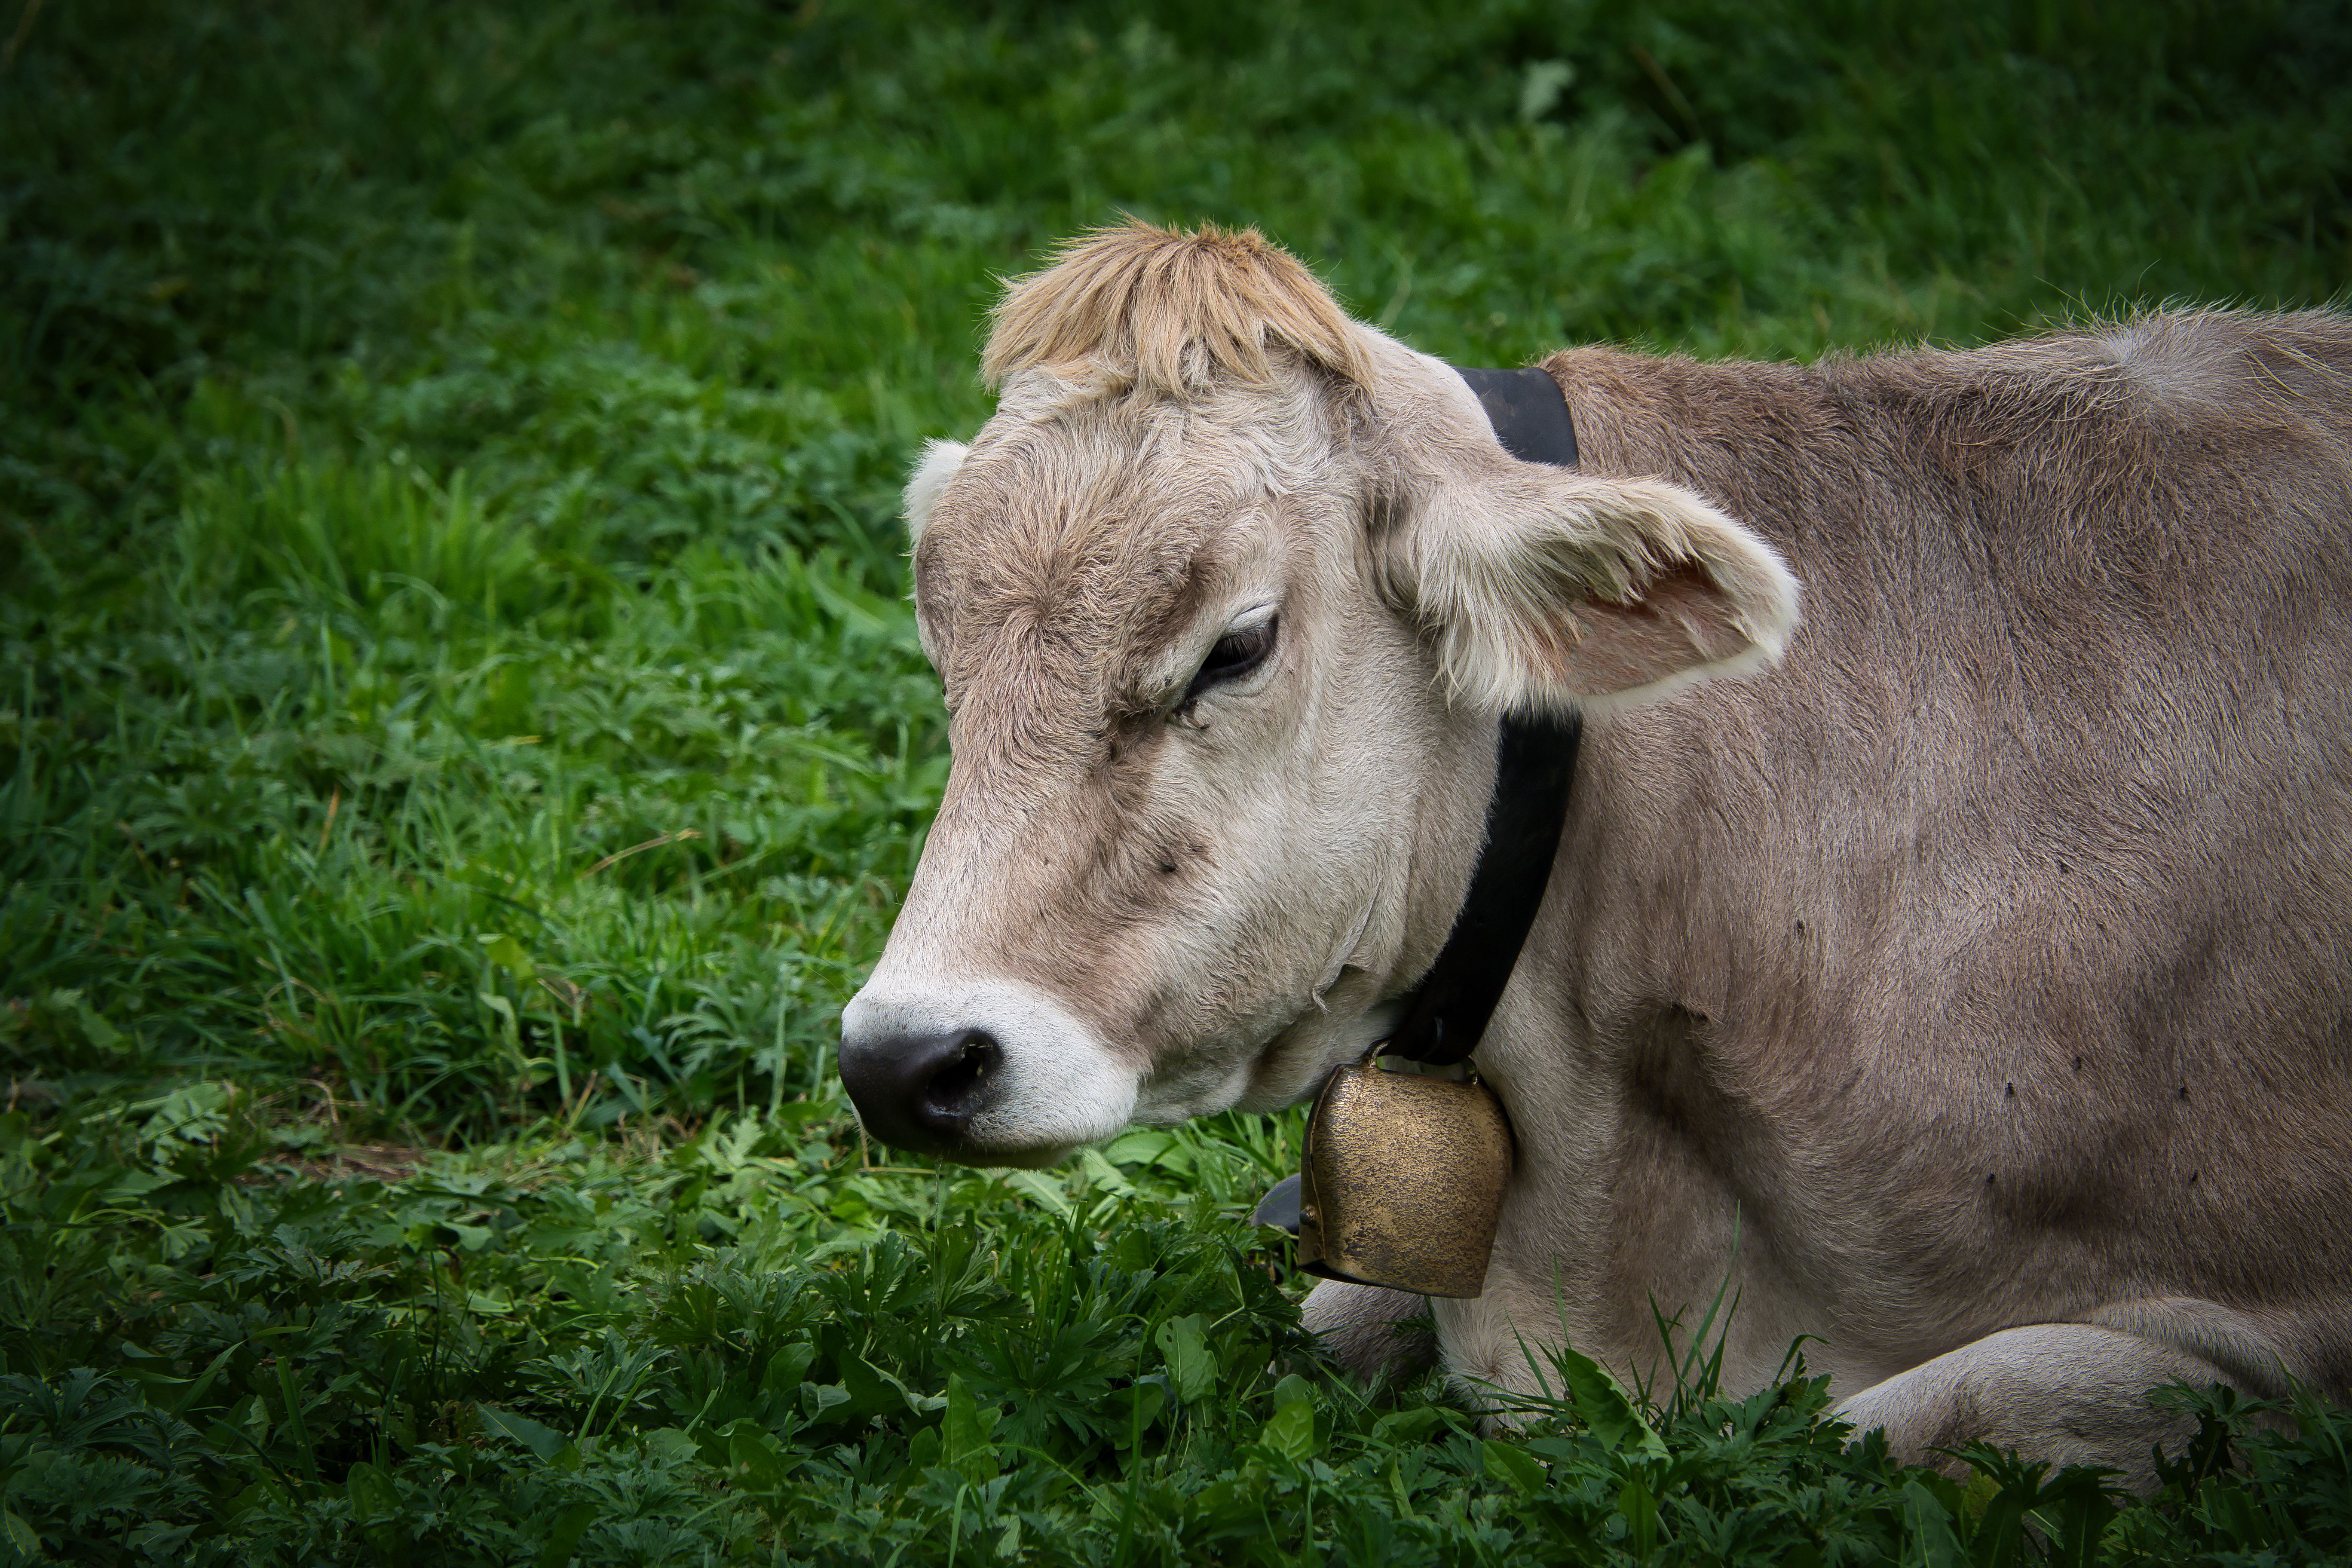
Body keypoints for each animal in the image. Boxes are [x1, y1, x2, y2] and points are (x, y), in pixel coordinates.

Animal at [837, 219, 2352, 1486]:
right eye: (945, 645)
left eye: (1239, 646)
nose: (906, 1060)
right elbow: (1325, 1318)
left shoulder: (2269, 1330)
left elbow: (1905, 1423)